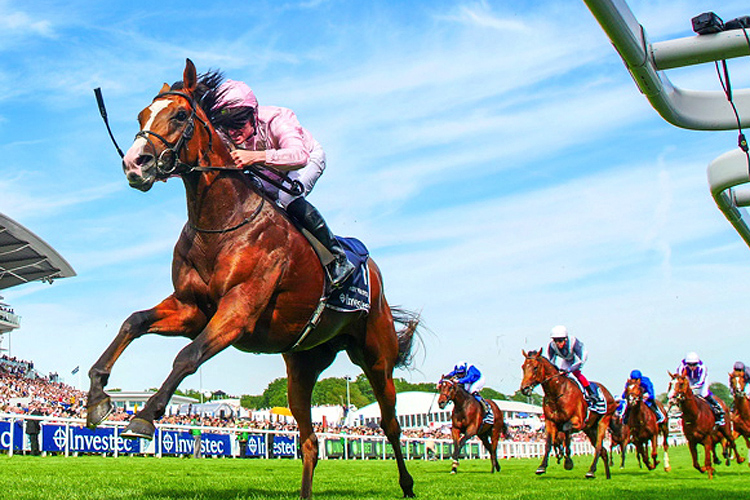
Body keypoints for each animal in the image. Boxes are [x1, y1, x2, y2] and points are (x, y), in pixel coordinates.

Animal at [88, 59, 424, 500]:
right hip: (302, 364)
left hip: (377, 356)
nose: (134, 164)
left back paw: (407, 484)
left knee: (390, 422)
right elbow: (134, 322)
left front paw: (144, 415)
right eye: (142, 115)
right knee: (309, 440)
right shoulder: (191, 309)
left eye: (179, 115)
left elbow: (187, 356)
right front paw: (97, 395)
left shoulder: (239, 310)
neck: (221, 222)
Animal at [524, 350, 616, 478]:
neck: (557, 393)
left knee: (598, 447)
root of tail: (608, 393)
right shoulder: (550, 421)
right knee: (604, 451)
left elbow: (565, 432)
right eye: (523, 367)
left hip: (603, 421)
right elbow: (549, 442)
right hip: (590, 428)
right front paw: (542, 466)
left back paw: (591, 471)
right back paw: (607, 476)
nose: (524, 388)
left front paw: (567, 461)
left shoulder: (578, 422)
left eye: (535, 367)